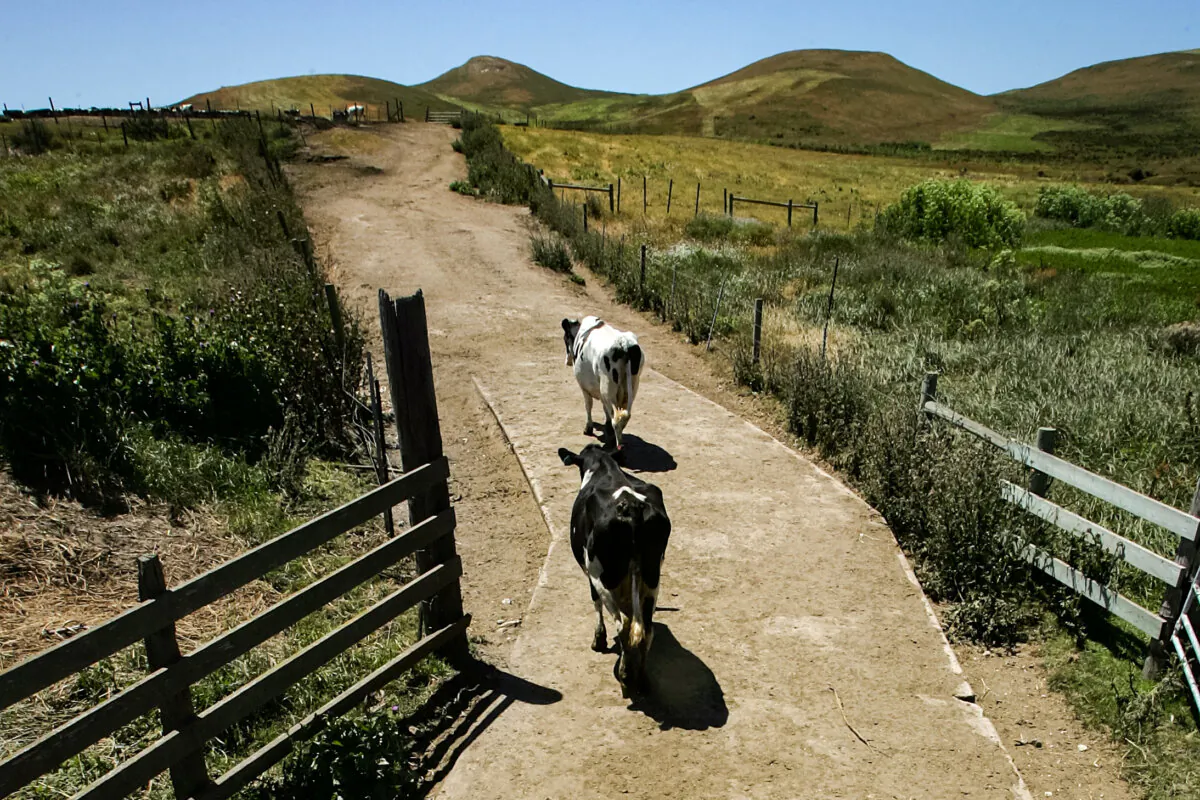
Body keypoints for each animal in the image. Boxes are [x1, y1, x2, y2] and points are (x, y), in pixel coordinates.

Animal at [559, 443, 671, 696]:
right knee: (646, 630)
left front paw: (599, 640)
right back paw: (642, 679)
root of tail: (633, 507)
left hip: (603, 575)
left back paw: (625, 678)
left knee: (624, 625)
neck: (602, 464)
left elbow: (595, 602)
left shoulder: (590, 574)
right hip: (652, 576)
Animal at [562, 316, 644, 452]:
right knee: (624, 416)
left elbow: (588, 406)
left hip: (607, 388)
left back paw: (618, 448)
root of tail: (623, 344)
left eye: (565, 338)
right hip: (632, 386)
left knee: (617, 419)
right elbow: (605, 410)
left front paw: (588, 428)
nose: (567, 361)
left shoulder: (584, 387)